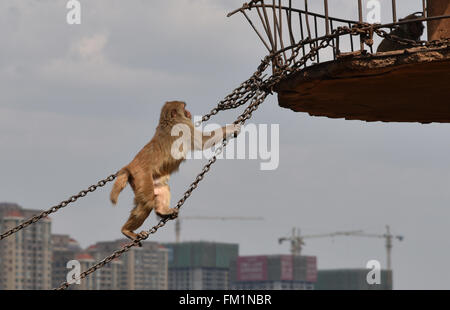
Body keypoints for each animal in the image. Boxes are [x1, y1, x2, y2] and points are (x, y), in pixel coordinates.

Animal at [110, 101, 241, 242]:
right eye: (184, 107)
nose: (189, 112)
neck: (169, 120)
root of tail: (129, 166)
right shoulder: (185, 126)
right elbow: (203, 141)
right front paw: (230, 128)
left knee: (162, 188)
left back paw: (161, 211)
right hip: (141, 176)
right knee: (147, 201)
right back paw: (127, 231)